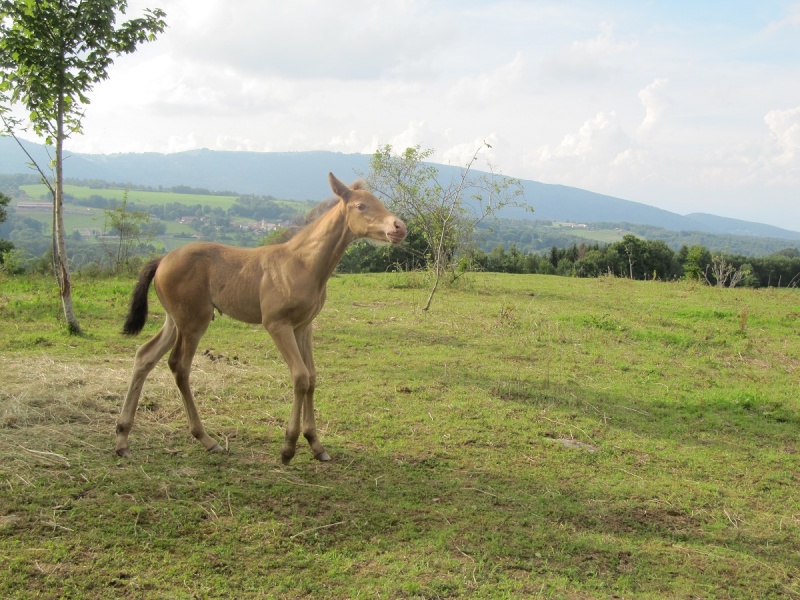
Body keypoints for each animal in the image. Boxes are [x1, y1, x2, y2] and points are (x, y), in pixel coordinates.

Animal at [115, 173, 406, 464]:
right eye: (361, 206)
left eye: (378, 201)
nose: (399, 227)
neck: (302, 263)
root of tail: (162, 259)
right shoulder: (277, 324)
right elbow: (300, 376)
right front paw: (289, 447)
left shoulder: (304, 326)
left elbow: (312, 377)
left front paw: (316, 444)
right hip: (193, 322)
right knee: (179, 366)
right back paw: (206, 439)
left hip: (174, 321)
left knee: (145, 356)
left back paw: (122, 438)